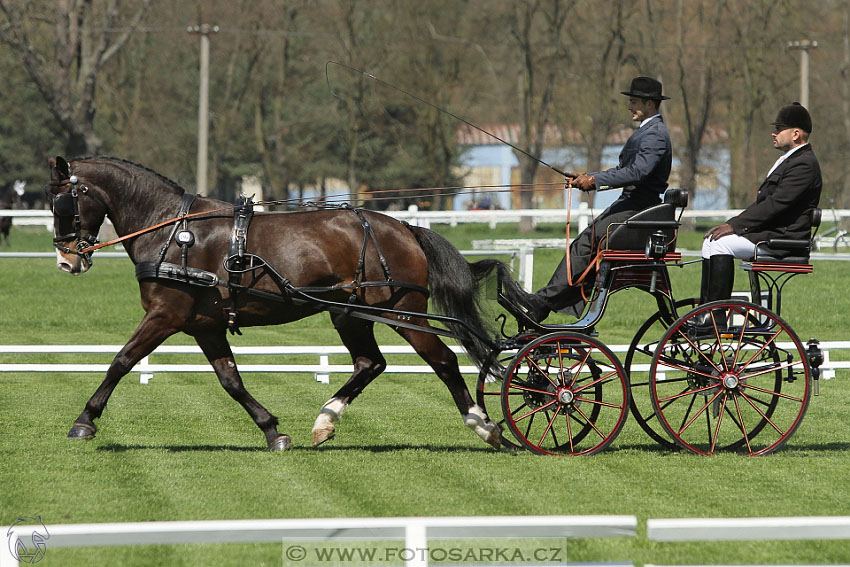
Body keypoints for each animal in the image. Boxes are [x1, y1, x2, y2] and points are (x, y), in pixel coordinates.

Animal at [48, 156, 524, 452]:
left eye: (63, 202)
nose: (66, 260)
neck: (171, 231)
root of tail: (405, 227)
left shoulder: (166, 315)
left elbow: (122, 361)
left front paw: (84, 421)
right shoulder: (205, 324)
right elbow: (231, 380)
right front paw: (272, 429)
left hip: (402, 312)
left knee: (443, 359)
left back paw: (484, 425)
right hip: (349, 314)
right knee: (370, 363)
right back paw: (325, 419)